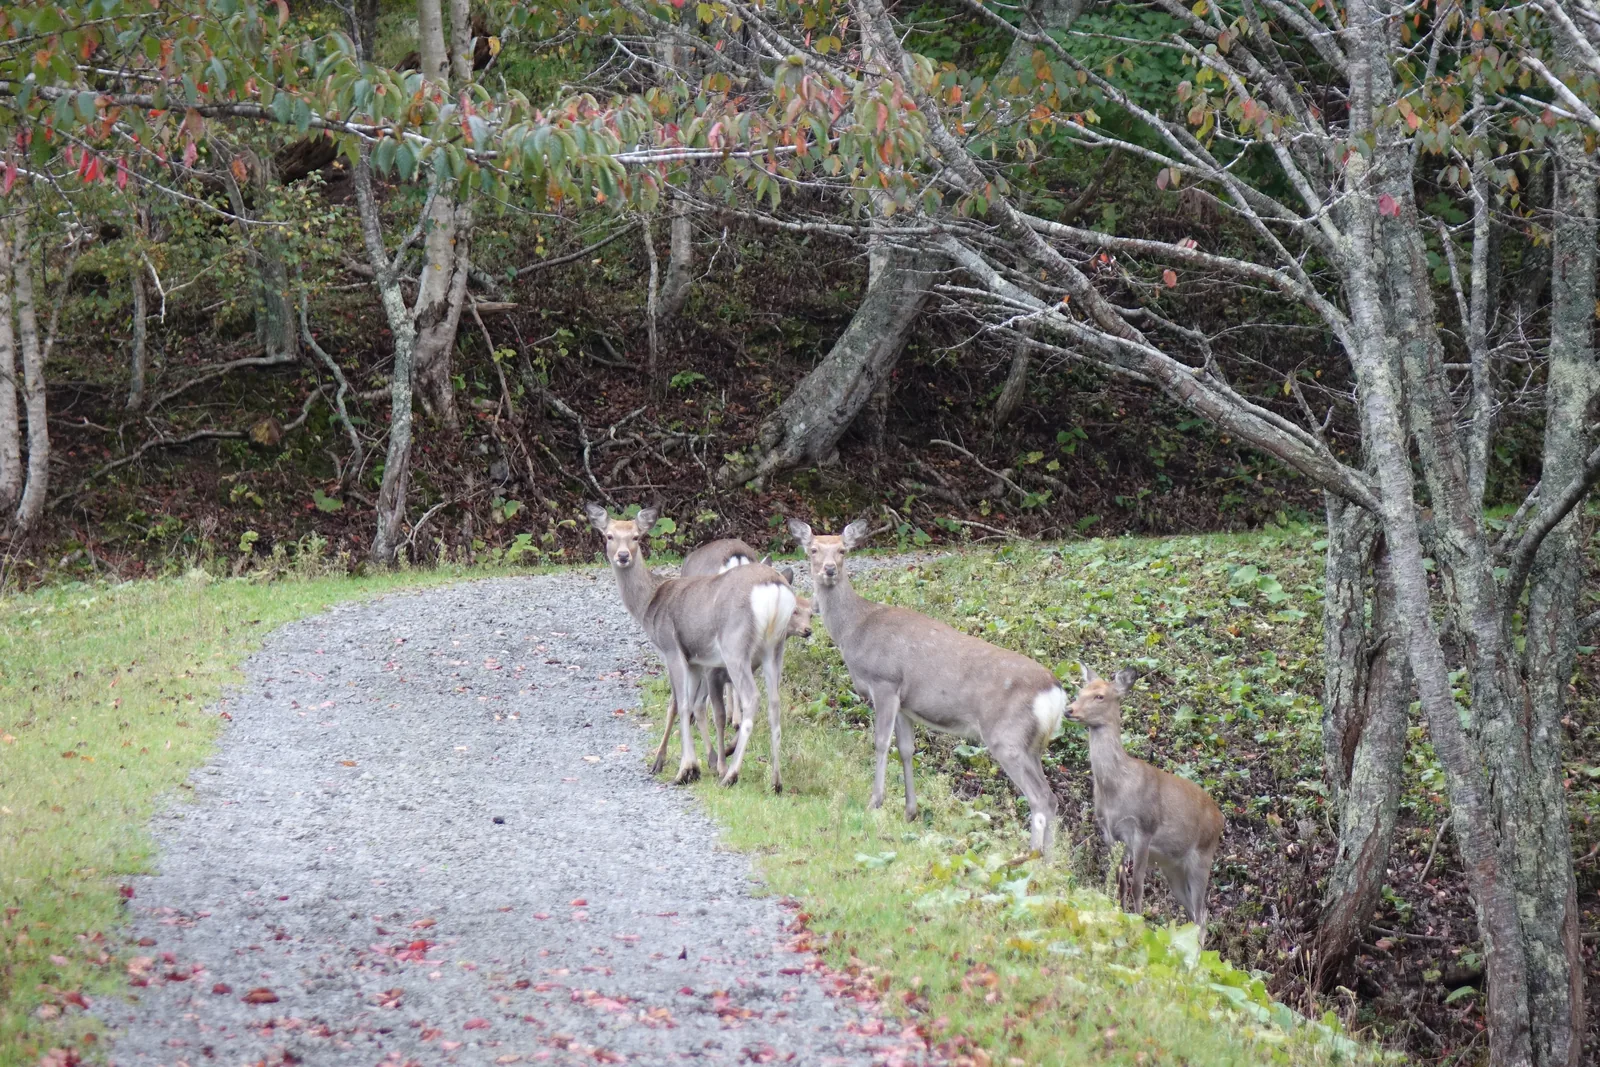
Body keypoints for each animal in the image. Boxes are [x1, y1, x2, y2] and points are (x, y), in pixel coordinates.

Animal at [586, 505, 797, 790]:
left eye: (636, 537)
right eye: (609, 536)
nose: (622, 555)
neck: (650, 604)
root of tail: (774, 589)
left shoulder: (671, 647)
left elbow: (682, 704)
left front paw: (685, 769)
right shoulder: (696, 659)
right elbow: (690, 706)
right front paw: (695, 764)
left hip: (735, 644)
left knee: (752, 698)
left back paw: (731, 775)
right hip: (775, 647)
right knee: (775, 703)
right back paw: (776, 781)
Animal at [787, 518, 1066, 856]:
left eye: (843, 550)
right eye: (813, 549)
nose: (829, 569)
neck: (855, 630)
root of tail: (1055, 693)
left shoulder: (885, 681)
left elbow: (881, 743)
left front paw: (875, 802)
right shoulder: (905, 703)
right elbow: (907, 750)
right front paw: (910, 811)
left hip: (1007, 736)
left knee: (1040, 798)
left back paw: (1034, 856)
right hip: (1033, 744)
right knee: (1051, 798)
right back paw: (1049, 860)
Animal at [1069, 667, 1223, 942]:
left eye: (1099, 696)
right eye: (1080, 691)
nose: (1069, 710)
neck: (1117, 788)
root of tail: (1221, 818)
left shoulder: (1143, 829)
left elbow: (1138, 884)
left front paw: (1139, 926)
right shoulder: (1109, 832)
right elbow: (1121, 882)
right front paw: (1119, 918)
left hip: (1202, 858)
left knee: (1202, 915)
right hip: (1173, 868)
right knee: (1195, 914)